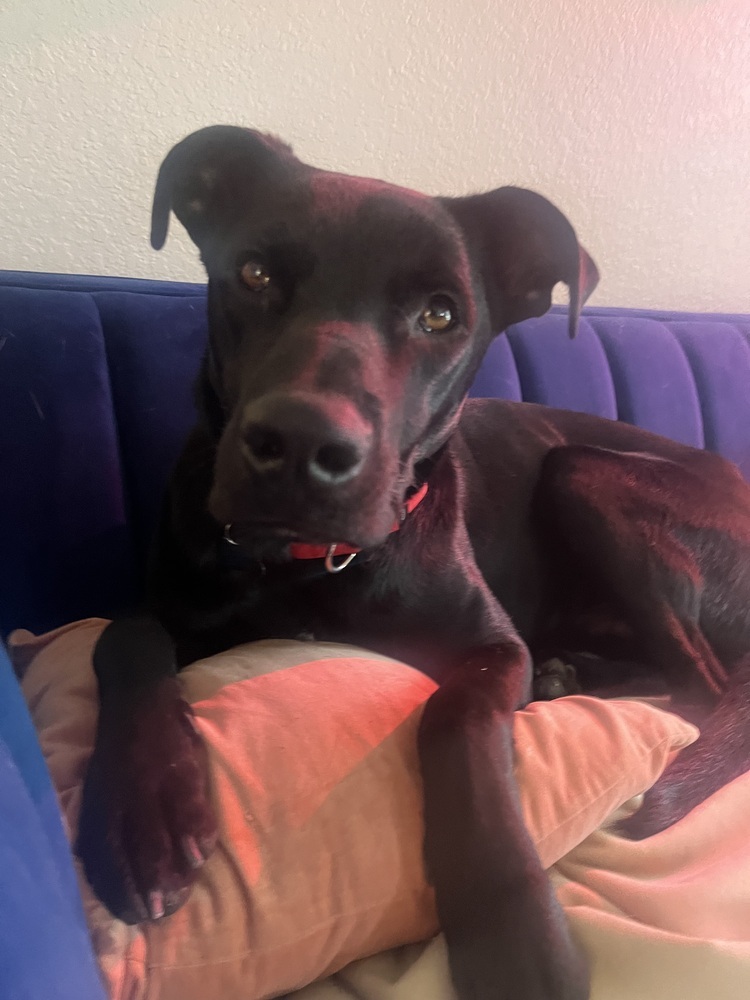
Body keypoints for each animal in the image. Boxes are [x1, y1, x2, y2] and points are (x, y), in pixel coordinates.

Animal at [76, 129, 750, 1000]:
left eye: (440, 314)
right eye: (255, 275)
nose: (302, 444)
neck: (308, 565)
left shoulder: (493, 647)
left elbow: (456, 718)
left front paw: (513, 931)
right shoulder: (170, 603)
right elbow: (122, 636)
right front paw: (144, 813)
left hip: (583, 471)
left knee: (701, 680)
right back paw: (572, 673)